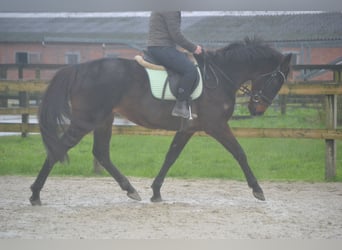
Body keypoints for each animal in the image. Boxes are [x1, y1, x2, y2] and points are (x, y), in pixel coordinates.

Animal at [30, 37, 292, 205]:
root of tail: (78, 68)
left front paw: (155, 191)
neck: (219, 77)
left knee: (101, 153)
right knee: (60, 148)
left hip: (104, 119)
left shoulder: (188, 129)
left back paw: (130, 190)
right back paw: (35, 194)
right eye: (277, 80)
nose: (257, 109)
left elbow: (171, 156)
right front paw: (258, 190)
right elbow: (240, 153)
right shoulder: (216, 126)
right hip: (86, 120)